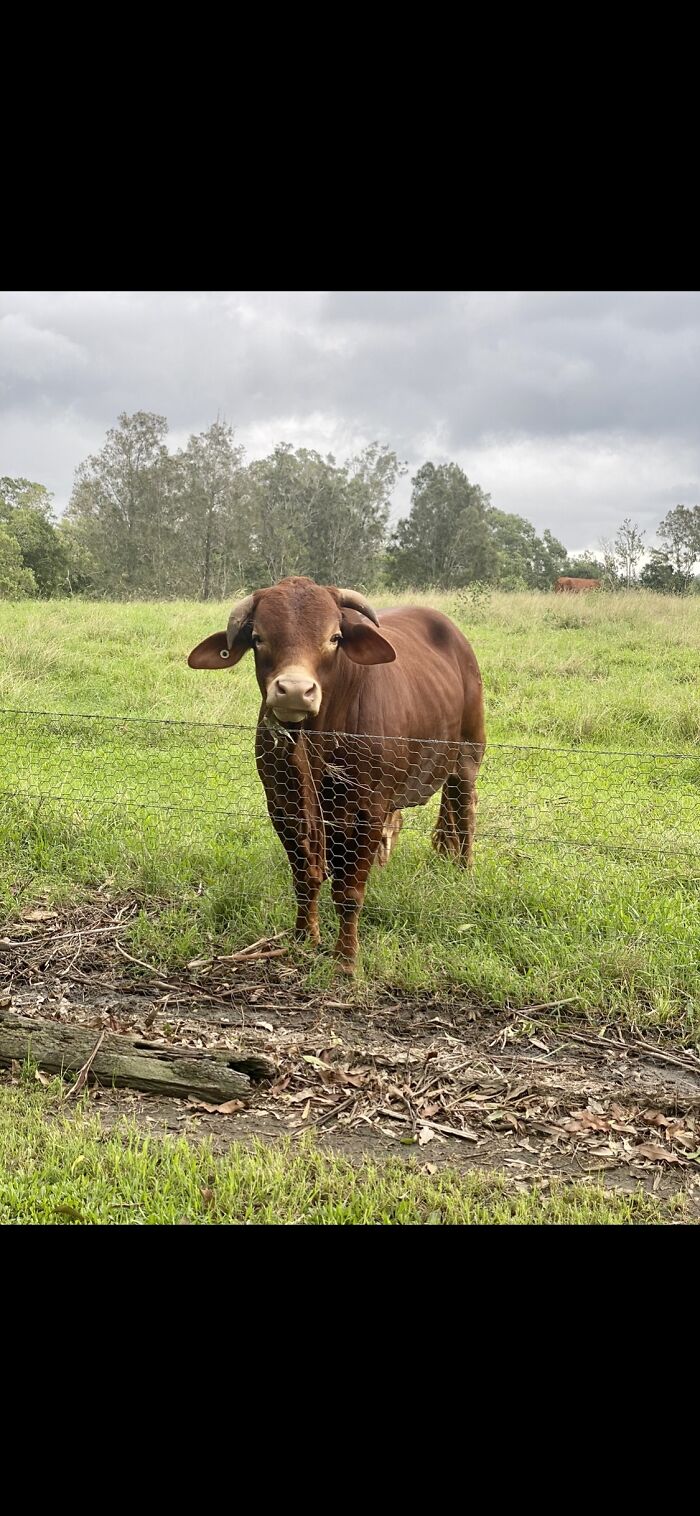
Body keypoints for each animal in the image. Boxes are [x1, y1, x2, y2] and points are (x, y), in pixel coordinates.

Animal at [188, 577, 486, 973]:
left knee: (465, 810)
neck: (315, 742)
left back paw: (463, 870)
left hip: (468, 755)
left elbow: (348, 892)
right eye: (258, 637)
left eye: (334, 637)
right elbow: (305, 877)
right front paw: (304, 937)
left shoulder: (367, 812)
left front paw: (346, 958)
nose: (295, 691)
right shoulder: (284, 808)